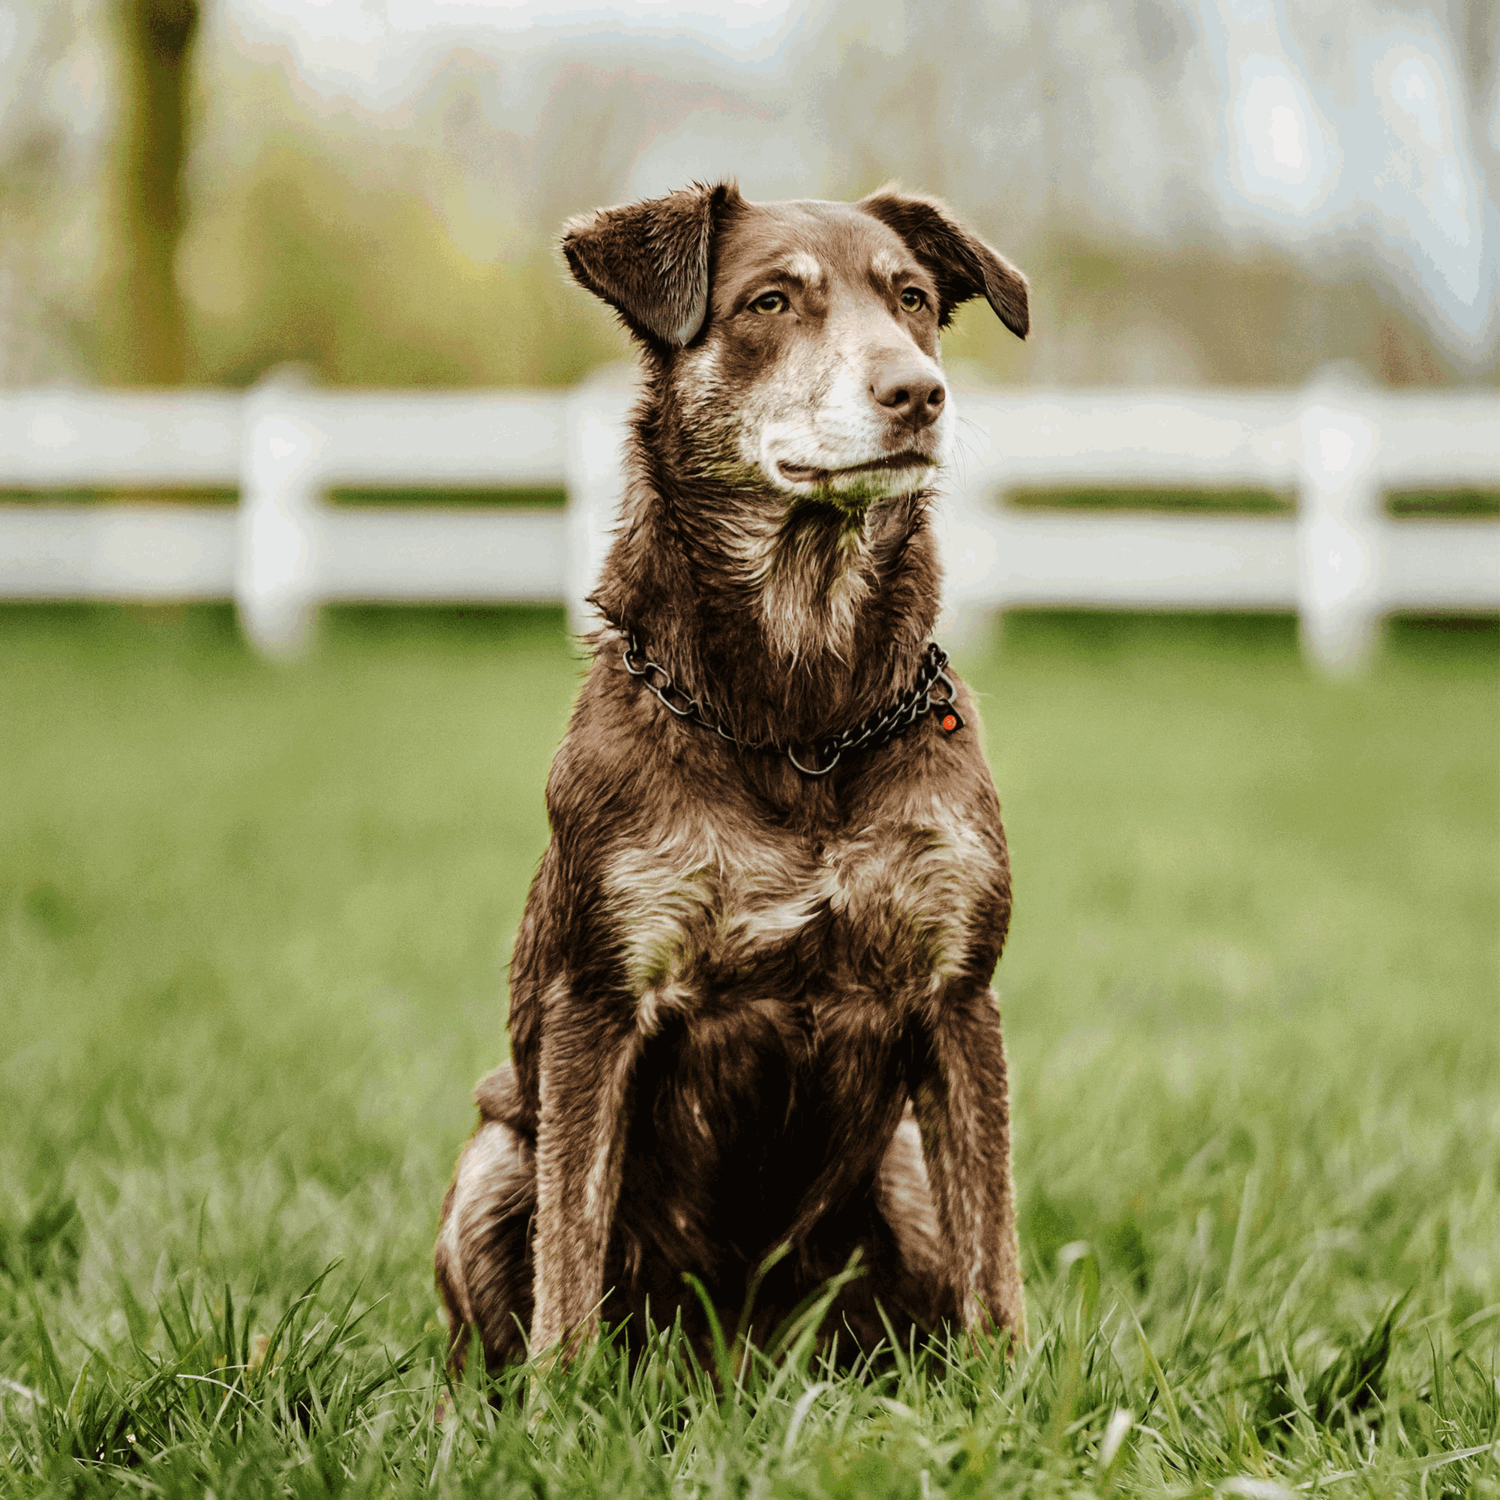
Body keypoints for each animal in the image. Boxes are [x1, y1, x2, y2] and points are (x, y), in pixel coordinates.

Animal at [438, 178, 1032, 1374]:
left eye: (912, 298)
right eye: (770, 301)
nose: (919, 392)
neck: (801, 718)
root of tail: (738, 1358)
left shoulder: (958, 1001)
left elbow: (993, 1263)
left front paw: (1021, 1396)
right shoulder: (597, 1007)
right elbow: (568, 1269)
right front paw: (560, 1405)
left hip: (897, 1172)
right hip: (489, 1157)